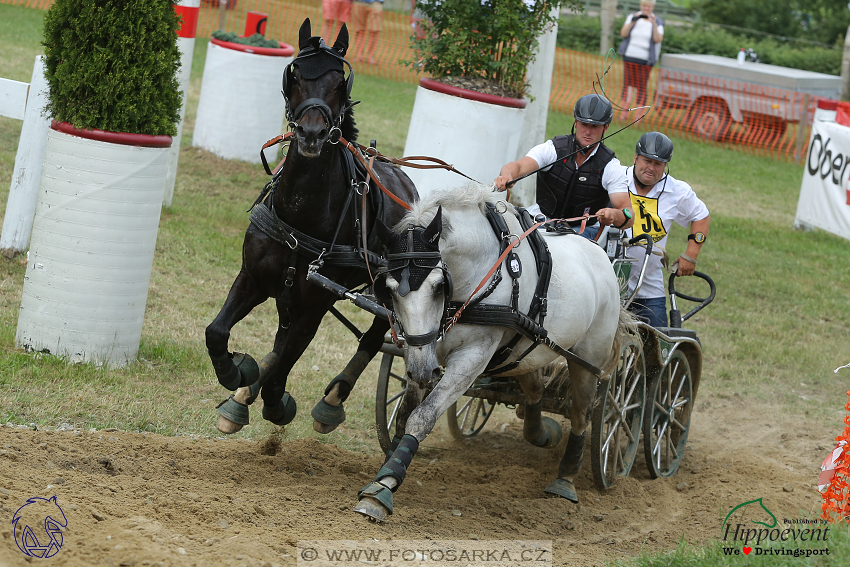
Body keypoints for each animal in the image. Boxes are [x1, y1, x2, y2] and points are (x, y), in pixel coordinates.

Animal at [205, 17, 418, 434]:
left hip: (389, 290)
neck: (300, 214)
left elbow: (282, 368)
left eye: (338, 81)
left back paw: (333, 399)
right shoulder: (253, 278)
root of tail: (406, 184)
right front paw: (236, 375)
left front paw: (274, 403)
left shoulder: (315, 306)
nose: (311, 133)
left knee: (375, 336)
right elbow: (217, 332)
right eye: (297, 75)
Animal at [354, 184, 632, 520]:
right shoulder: (419, 350)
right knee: (535, 389)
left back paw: (566, 478)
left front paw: (384, 488)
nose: (423, 372)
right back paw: (543, 433)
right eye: (389, 289)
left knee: (582, 414)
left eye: (438, 286)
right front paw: (386, 473)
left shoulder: (472, 357)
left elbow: (422, 416)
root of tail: (601, 257)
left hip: (588, 361)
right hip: (525, 353)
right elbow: (405, 413)